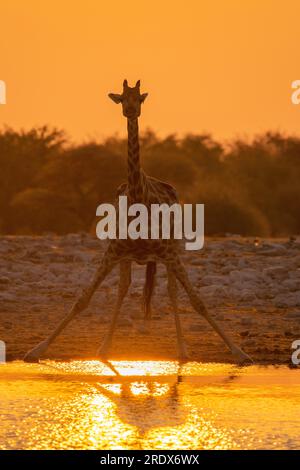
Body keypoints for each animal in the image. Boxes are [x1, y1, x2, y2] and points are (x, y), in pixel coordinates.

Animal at [23, 79, 252, 366]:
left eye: (139, 98)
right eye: (122, 98)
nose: (130, 110)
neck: (138, 197)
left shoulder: (168, 253)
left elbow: (197, 301)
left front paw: (240, 352)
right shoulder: (113, 252)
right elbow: (83, 300)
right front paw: (36, 350)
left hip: (173, 250)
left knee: (172, 291)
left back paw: (182, 350)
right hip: (129, 257)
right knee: (124, 288)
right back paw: (104, 348)